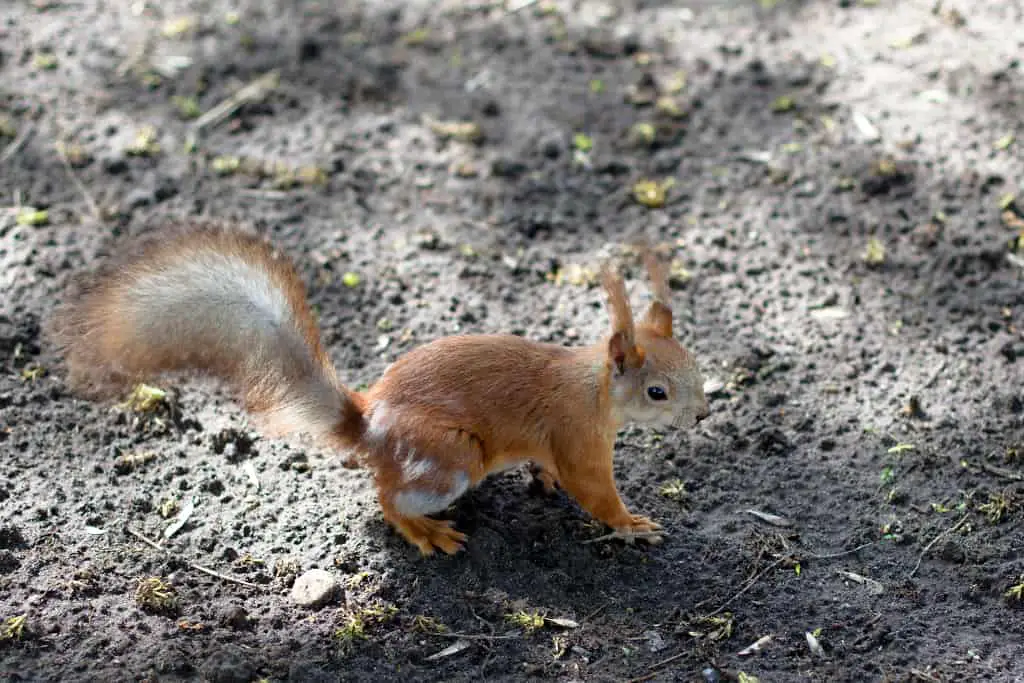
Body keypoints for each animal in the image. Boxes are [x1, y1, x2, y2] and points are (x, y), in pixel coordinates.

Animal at [46, 224, 704, 557]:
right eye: (657, 393)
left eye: (695, 365)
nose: (700, 418)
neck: (595, 388)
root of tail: (371, 427)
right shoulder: (577, 433)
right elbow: (594, 491)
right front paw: (632, 523)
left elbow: (551, 470)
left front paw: (544, 481)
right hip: (451, 458)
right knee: (388, 499)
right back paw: (426, 532)